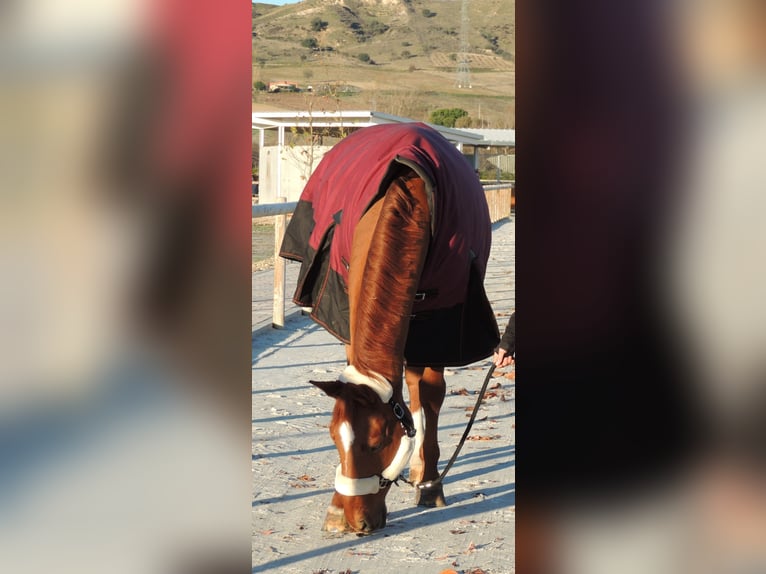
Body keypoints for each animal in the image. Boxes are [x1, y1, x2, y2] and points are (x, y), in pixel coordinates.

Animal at [280, 122, 500, 536]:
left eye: (378, 441)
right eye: (333, 437)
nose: (357, 522)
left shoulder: (438, 325)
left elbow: (430, 396)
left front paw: (430, 484)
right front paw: (335, 509)